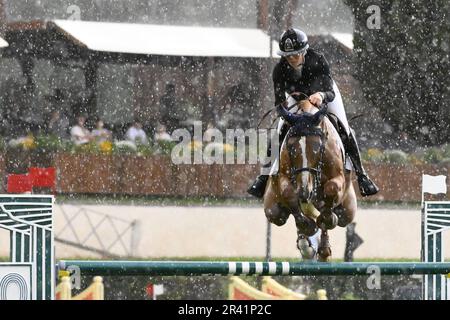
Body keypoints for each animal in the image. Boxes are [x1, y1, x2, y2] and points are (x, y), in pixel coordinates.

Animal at [264, 99, 356, 262]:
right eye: (291, 147)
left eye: (318, 147)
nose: (304, 191)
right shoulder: (284, 177)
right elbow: (288, 193)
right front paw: (308, 227)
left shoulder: (338, 179)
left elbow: (331, 190)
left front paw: (329, 219)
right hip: (273, 210)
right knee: (284, 213)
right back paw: (305, 244)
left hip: (348, 210)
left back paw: (323, 250)